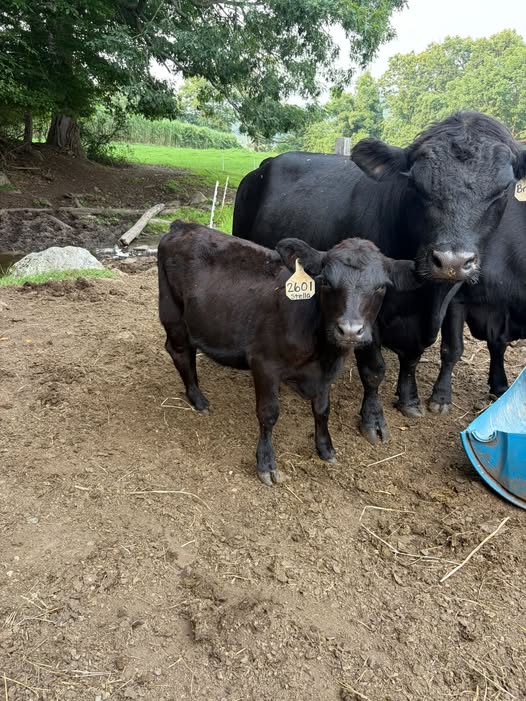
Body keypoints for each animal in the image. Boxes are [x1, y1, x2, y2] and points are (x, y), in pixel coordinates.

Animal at [158, 220, 419, 486]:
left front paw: (325, 448)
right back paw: (198, 399)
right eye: (326, 282)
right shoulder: (264, 363)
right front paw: (266, 463)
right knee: (179, 352)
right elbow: (268, 413)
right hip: (172, 313)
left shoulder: (326, 373)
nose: (350, 330)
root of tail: (183, 226)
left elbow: (322, 410)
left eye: (381, 287)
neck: (321, 351)